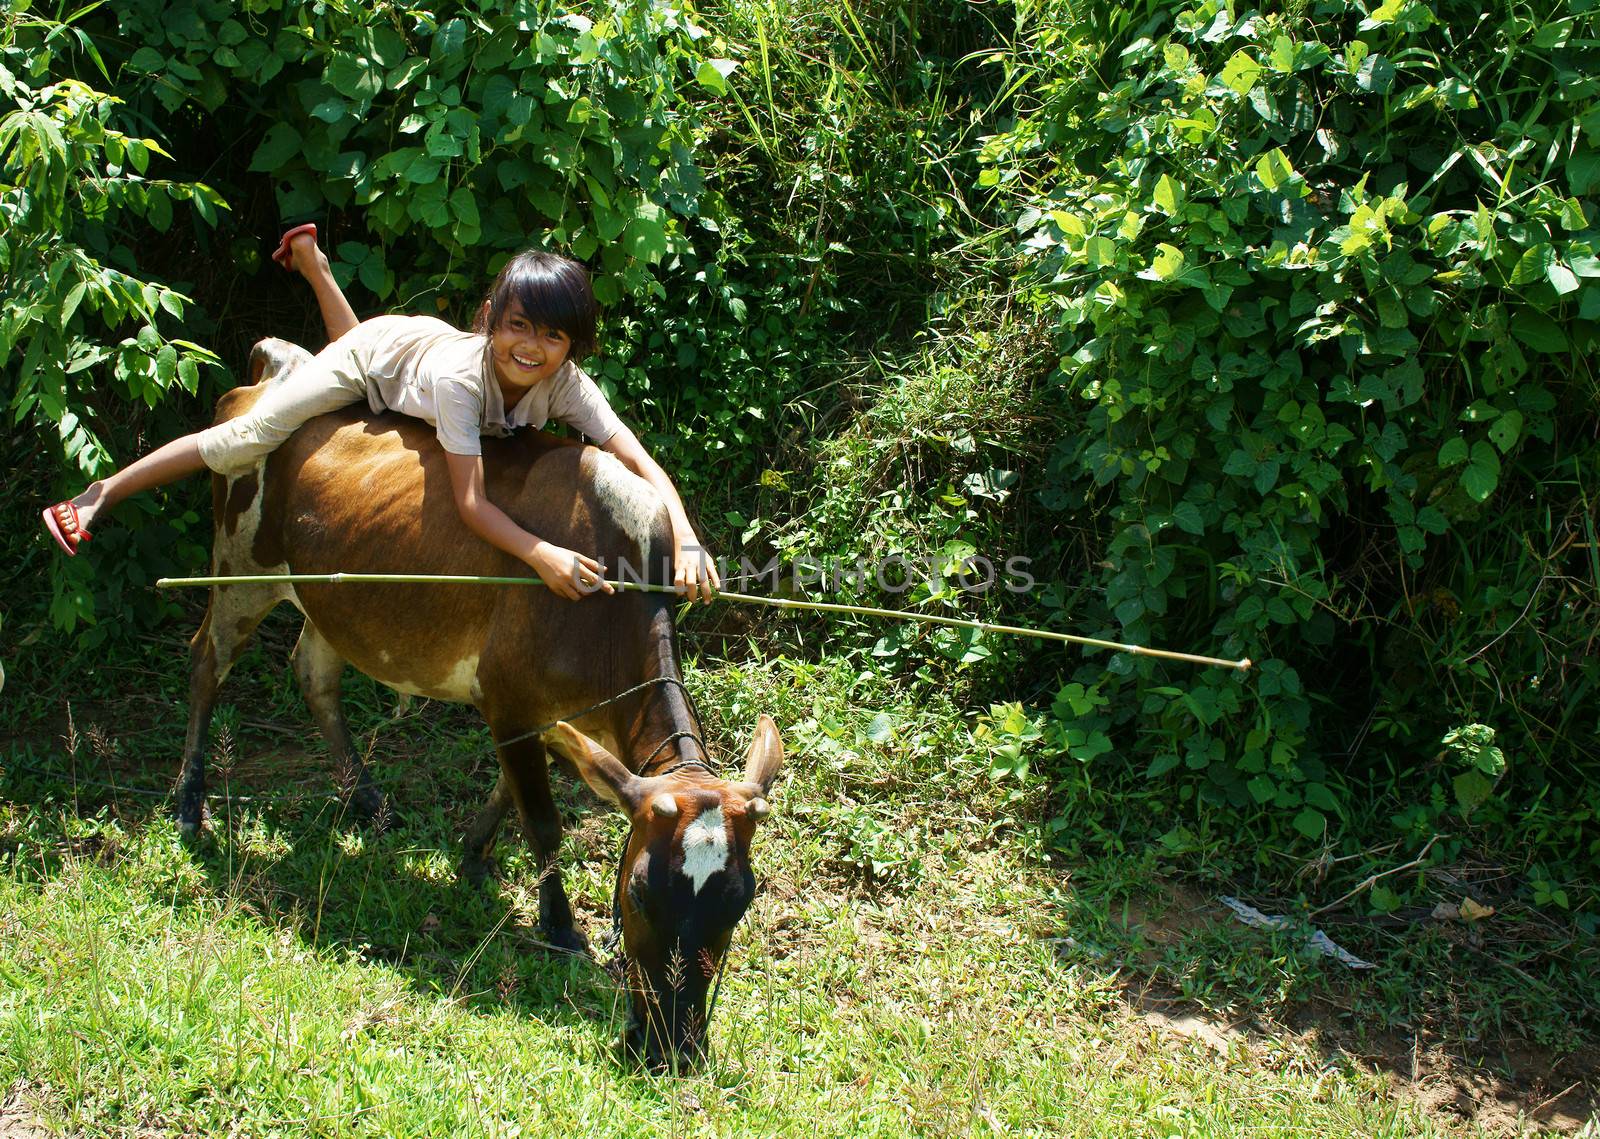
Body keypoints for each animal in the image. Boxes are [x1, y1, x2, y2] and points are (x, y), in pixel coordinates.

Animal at [180, 340, 780, 1068]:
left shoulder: (565, 721)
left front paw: (472, 853)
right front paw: (559, 925)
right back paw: (189, 802)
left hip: (328, 596)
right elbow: (542, 821)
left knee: (313, 672)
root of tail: (273, 371)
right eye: (638, 890)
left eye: (741, 901)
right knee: (206, 663)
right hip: (239, 569)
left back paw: (367, 798)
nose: (670, 1045)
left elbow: (506, 788)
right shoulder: (512, 701)